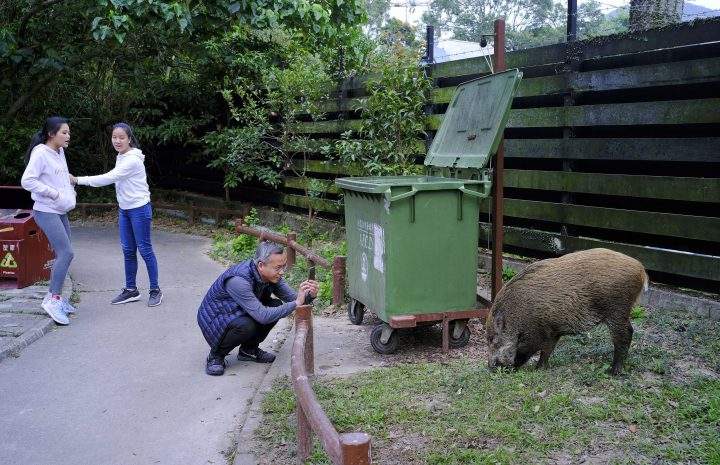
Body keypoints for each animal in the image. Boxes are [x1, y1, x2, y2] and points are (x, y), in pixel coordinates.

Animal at [486, 248, 648, 375]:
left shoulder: (537, 332)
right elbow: (547, 350)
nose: (490, 367)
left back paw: (614, 371)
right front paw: (540, 368)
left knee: (625, 335)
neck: (516, 316)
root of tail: (641, 269)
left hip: (617, 309)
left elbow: (532, 350)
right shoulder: (553, 331)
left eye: (492, 339)